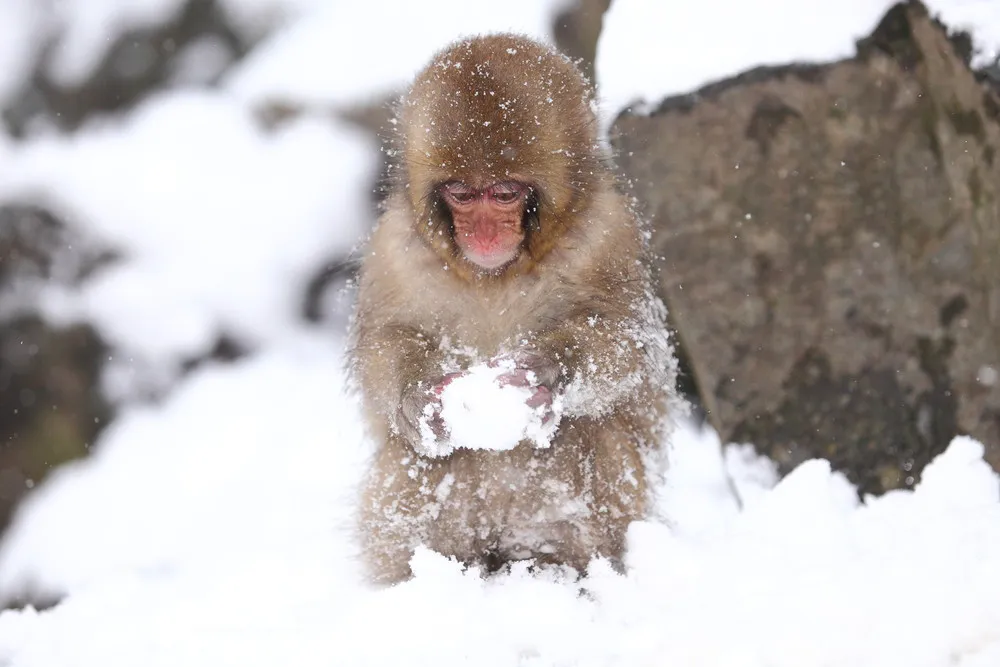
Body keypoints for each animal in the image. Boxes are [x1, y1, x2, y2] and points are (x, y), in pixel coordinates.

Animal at [348, 33, 678, 585]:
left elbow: (630, 342)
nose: (483, 234)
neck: (492, 275)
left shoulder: (609, 236)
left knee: (590, 431)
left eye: (504, 193)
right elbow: (387, 340)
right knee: (415, 459)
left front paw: (547, 369)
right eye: (461, 193)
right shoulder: (393, 249)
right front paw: (416, 400)